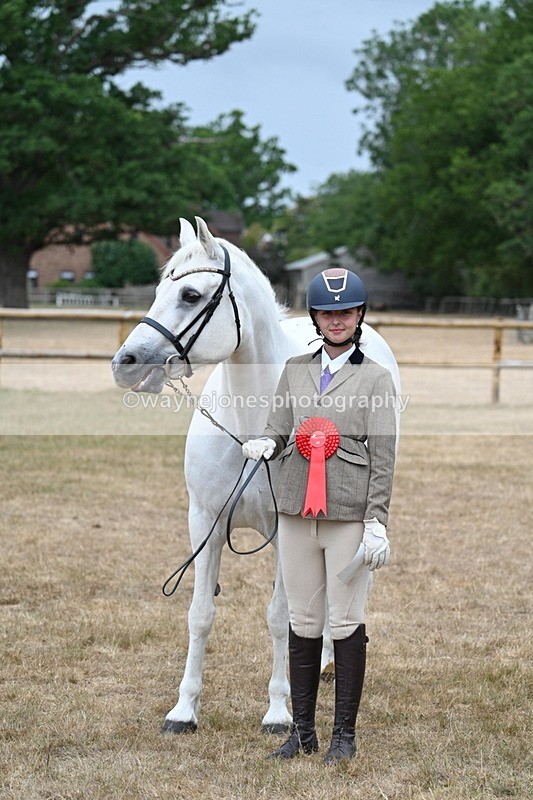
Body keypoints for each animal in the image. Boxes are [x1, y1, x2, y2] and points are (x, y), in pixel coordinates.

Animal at [112, 216, 400, 734]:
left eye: (190, 295)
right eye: (159, 290)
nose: (125, 364)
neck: (251, 432)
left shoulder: (290, 529)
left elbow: (282, 616)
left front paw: (279, 712)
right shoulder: (204, 523)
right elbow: (200, 614)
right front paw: (183, 711)